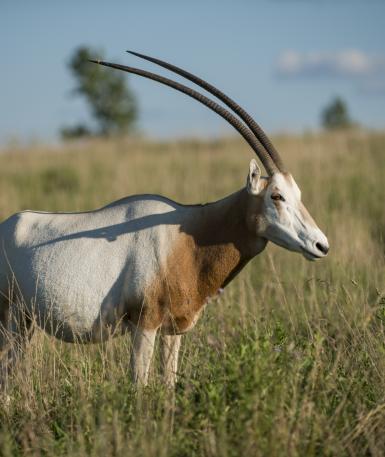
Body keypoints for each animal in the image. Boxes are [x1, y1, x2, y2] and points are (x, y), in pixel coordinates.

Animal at [0, 53, 328, 388]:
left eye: (297, 193)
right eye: (276, 196)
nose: (321, 245)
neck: (190, 236)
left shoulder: (174, 329)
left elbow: (169, 384)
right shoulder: (145, 324)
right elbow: (139, 385)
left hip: (25, 324)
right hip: (10, 320)